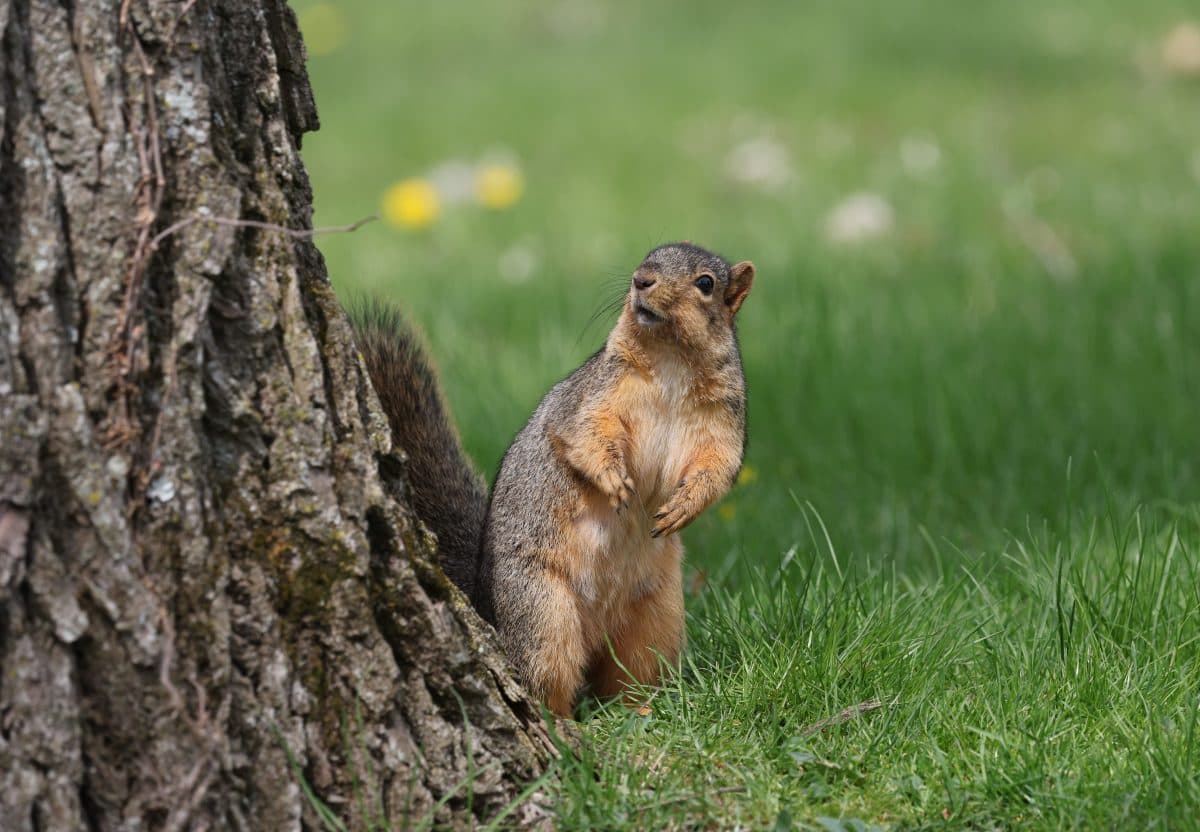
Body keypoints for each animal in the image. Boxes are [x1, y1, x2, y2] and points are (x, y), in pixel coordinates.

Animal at [352, 242, 754, 716]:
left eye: (706, 283)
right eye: (648, 255)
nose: (642, 279)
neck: (671, 360)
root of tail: (484, 599)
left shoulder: (723, 420)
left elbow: (718, 467)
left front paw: (684, 506)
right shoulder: (593, 397)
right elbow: (586, 435)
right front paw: (614, 480)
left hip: (659, 615)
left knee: (632, 672)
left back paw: (639, 709)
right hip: (542, 609)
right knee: (546, 678)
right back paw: (562, 721)